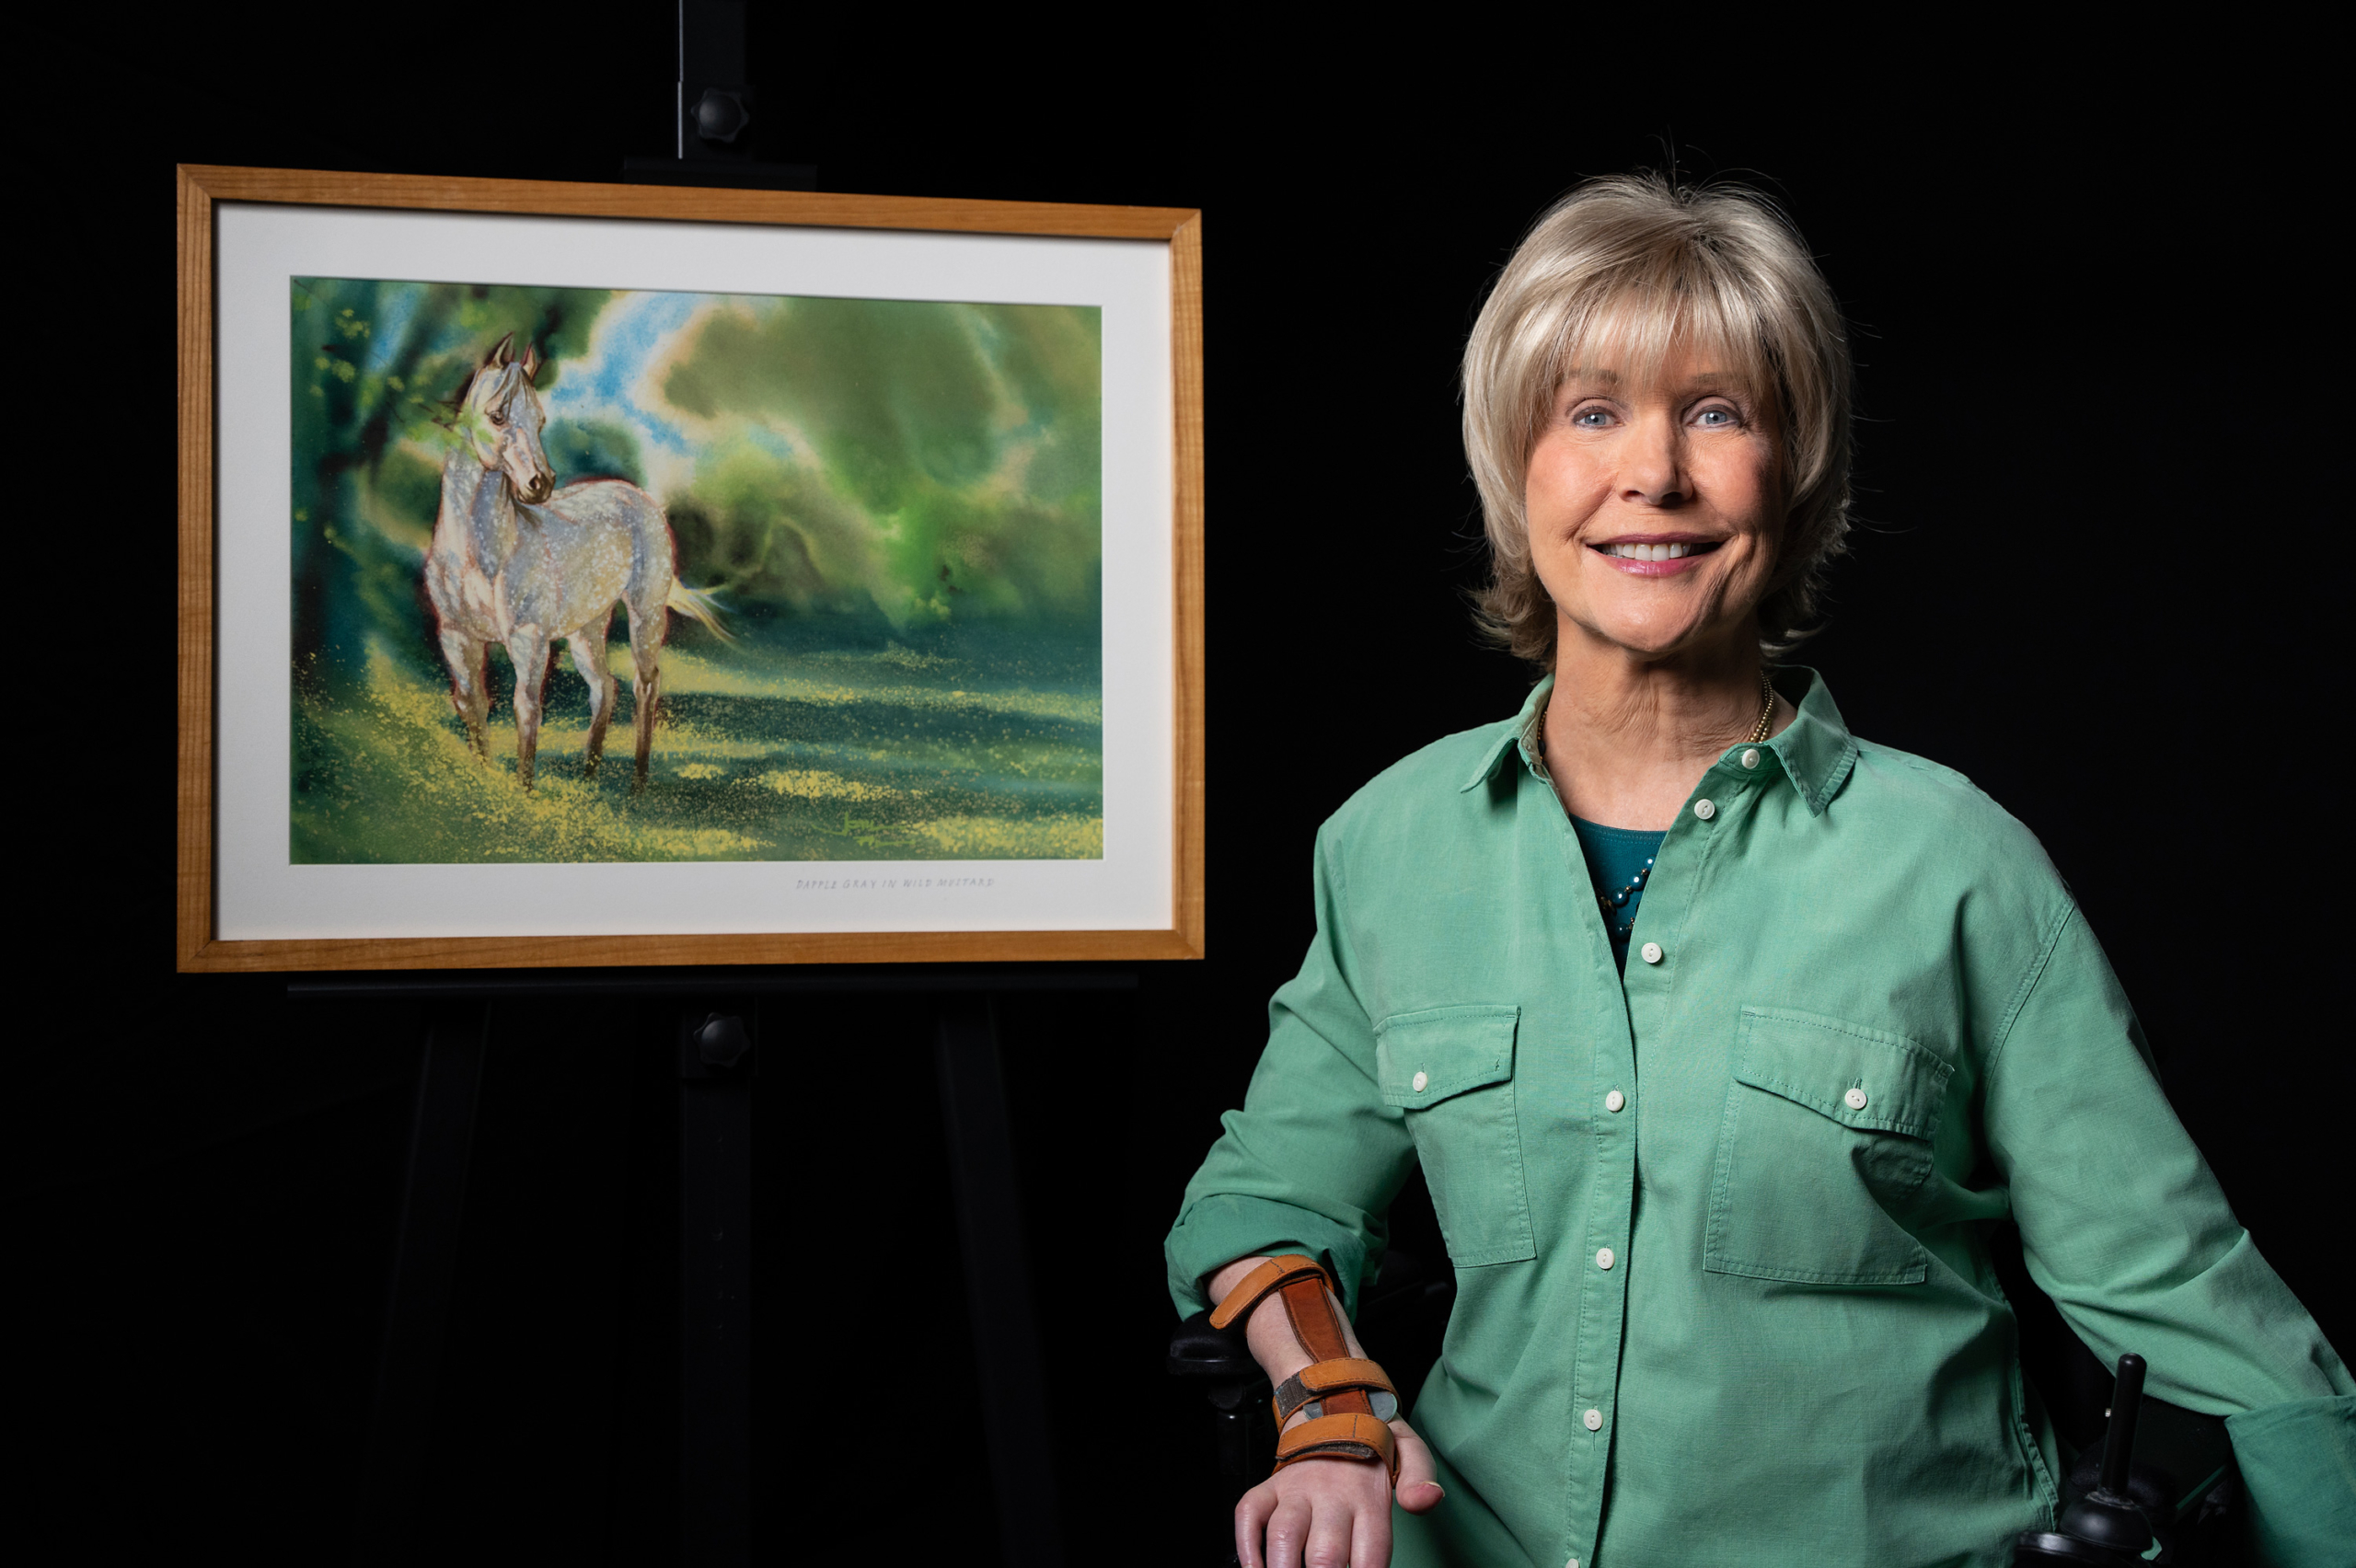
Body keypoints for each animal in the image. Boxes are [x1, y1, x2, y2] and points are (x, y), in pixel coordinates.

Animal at [419, 334, 721, 786]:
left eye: (540, 420)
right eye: (497, 416)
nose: (540, 484)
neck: (478, 554)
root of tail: (638, 496)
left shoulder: (529, 641)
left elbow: (526, 713)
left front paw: (523, 792)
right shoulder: (456, 637)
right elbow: (473, 707)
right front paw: (483, 782)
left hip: (645, 616)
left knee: (645, 684)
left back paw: (638, 783)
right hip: (587, 628)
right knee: (604, 687)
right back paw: (588, 776)